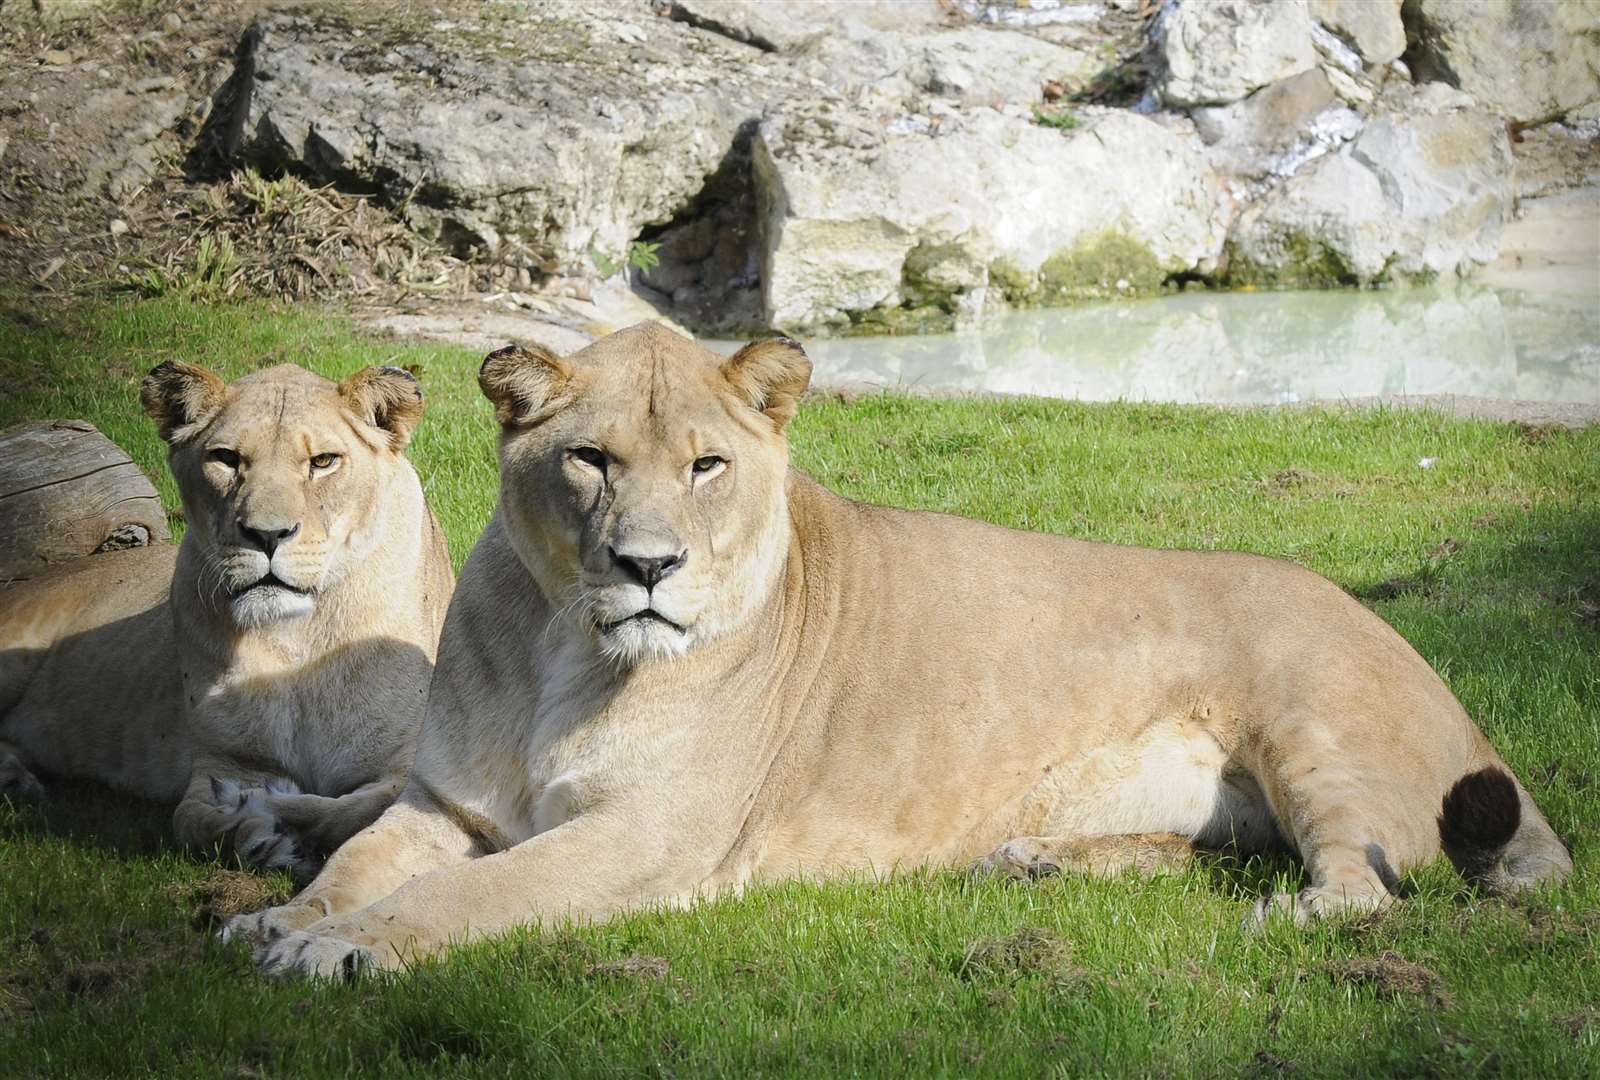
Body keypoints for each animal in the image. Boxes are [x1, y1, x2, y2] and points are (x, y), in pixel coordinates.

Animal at [0, 361, 454, 876]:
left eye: (323, 461)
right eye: (226, 458)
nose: (267, 535)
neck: (297, 638)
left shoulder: (411, 762)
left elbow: (359, 809)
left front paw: (277, 817)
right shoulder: (221, 761)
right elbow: (190, 820)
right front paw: (259, 836)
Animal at [228, 324, 1574, 972]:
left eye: (706, 466)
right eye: (590, 461)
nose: (648, 567)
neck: (567, 645)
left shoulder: (647, 838)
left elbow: (472, 893)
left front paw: (339, 947)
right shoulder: (449, 801)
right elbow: (371, 861)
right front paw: (284, 920)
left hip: (1315, 730)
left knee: (1364, 883)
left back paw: (1278, 920)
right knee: (1210, 851)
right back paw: (1036, 862)